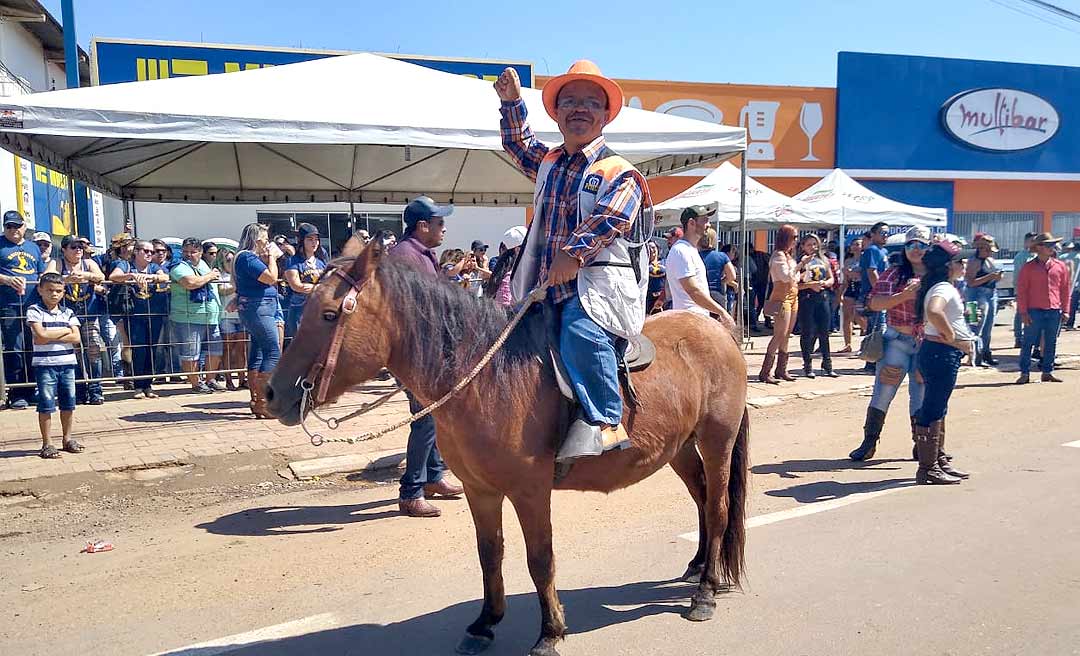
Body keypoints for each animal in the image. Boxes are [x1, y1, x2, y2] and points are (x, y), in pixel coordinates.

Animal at [265, 239, 747, 656]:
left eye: (330, 315)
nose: (271, 393)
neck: (486, 377)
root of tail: (719, 329)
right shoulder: (480, 489)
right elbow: (489, 553)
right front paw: (485, 622)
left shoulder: (529, 490)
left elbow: (540, 558)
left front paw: (550, 631)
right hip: (679, 447)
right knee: (702, 497)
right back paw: (699, 567)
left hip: (716, 439)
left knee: (719, 507)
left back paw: (705, 591)